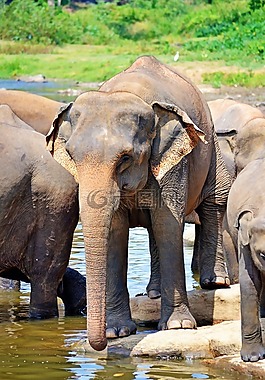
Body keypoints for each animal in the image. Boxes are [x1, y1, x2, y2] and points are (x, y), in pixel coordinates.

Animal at [46, 55, 231, 350]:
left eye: (125, 158)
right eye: (72, 156)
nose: (98, 343)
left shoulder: (173, 161)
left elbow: (168, 223)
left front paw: (178, 326)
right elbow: (117, 229)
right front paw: (116, 332)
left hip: (211, 139)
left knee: (215, 200)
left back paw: (216, 283)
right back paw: (153, 293)